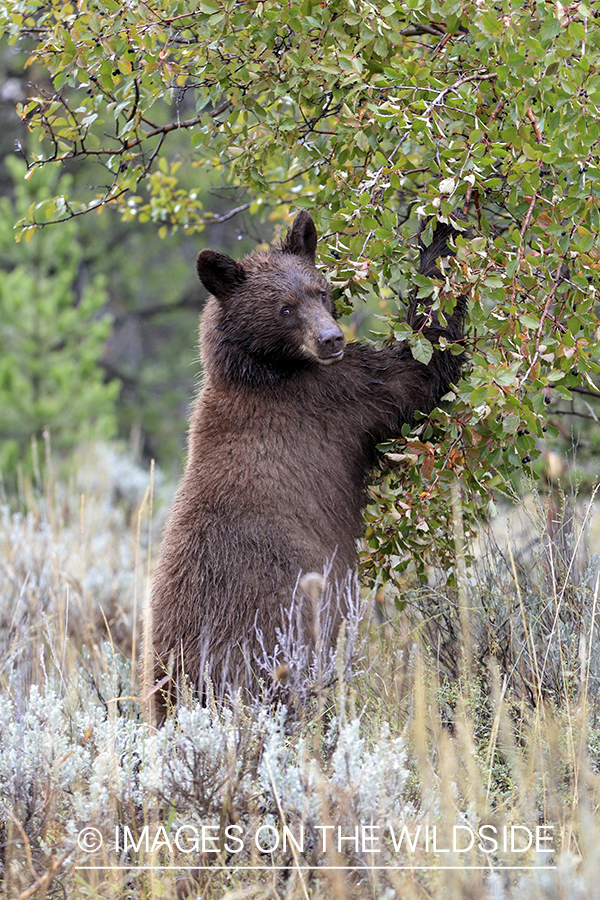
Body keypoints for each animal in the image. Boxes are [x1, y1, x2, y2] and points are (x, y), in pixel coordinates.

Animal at [148, 209, 466, 716]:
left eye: (319, 291)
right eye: (284, 307)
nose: (331, 338)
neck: (264, 370)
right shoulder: (336, 396)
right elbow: (416, 369)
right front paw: (445, 227)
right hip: (271, 637)